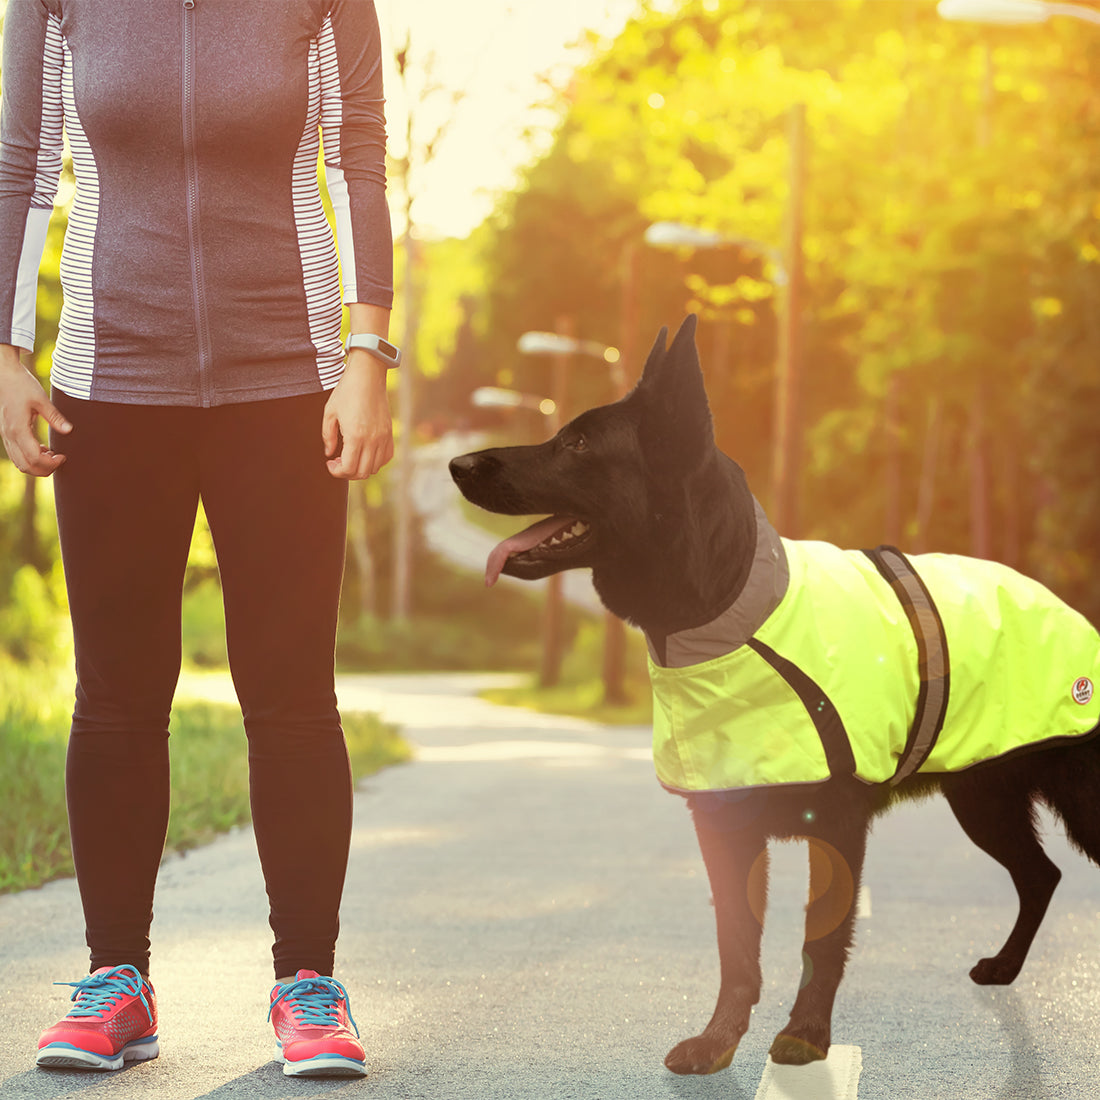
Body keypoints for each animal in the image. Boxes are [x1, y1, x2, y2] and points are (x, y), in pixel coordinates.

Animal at [446, 314, 1100, 1069]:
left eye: (577, 443)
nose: (457, 465)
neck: (728, 612)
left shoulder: (836, 826)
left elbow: (821, 939)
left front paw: (805, 1036)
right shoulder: (723, 827)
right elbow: (736, 946)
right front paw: (719, 1040)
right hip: (982, 801)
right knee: (1041, 875)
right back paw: (1005, 967)